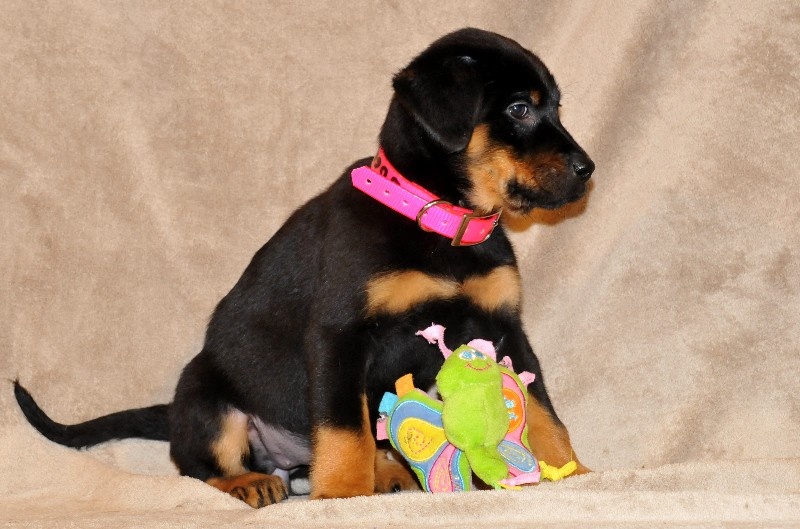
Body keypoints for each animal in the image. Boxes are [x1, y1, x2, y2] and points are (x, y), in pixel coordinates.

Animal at [15, 27, 594, 507]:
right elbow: (342, 427)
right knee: (198, 468)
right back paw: (250, 482)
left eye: (556, 107)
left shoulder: (503, 328)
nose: (588, 169)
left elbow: (545, 412)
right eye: (518, 109)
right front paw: (340, 496)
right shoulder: (339, 335)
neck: (438, 219)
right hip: (208, 399)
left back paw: (386, 472)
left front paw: (576, 472)